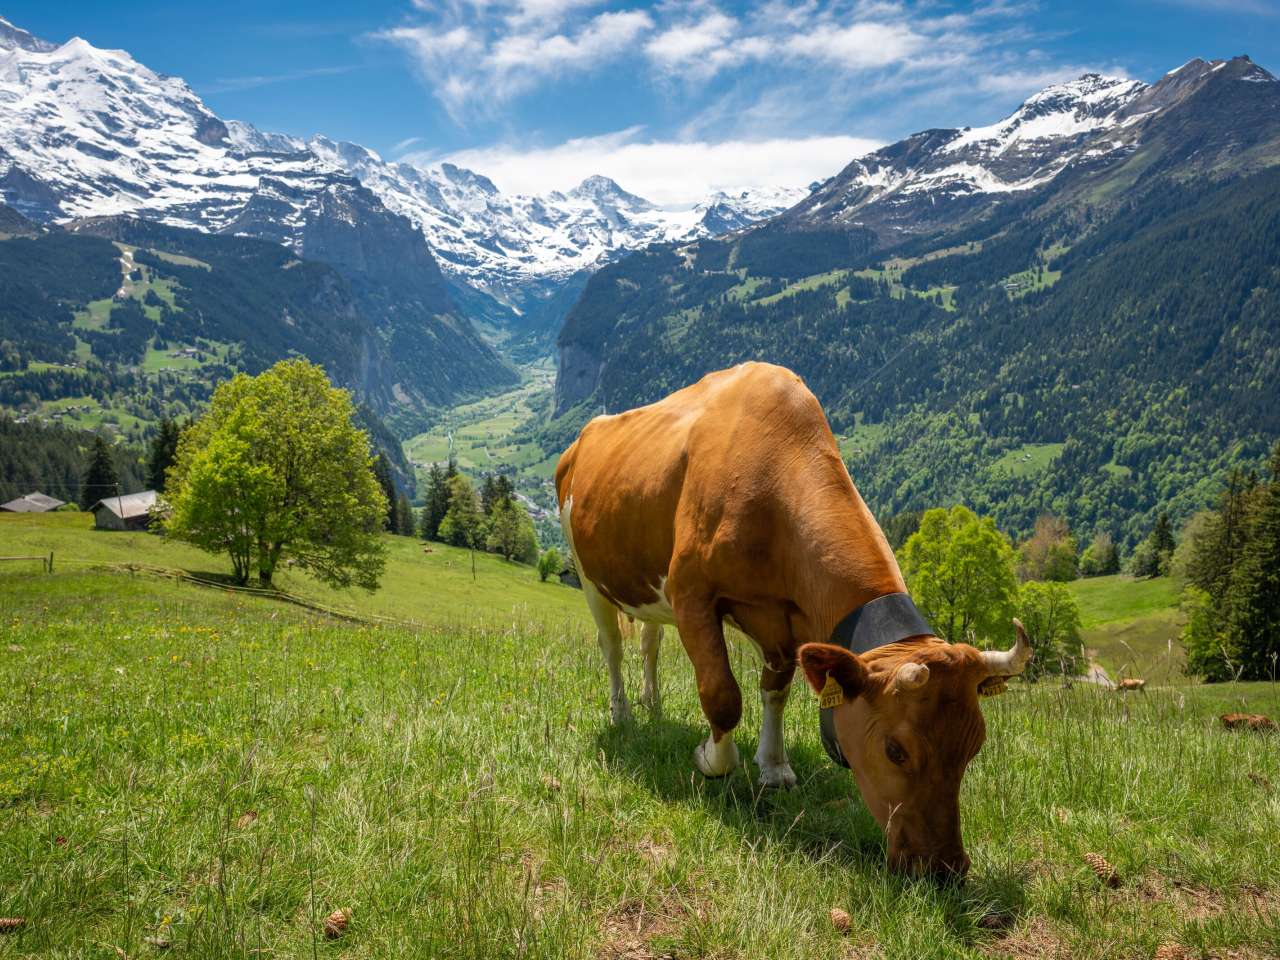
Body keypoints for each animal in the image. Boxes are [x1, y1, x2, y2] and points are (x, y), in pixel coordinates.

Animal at [555, 362, 1032, 878]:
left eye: (975, 746)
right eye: (895, 750)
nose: (944, 868)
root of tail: (585, 435)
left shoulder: (780, 620)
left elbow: (775, 691)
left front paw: (774, 765)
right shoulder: (691, 594)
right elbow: (722, 695)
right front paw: (712, 758)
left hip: (646, 586)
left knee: (649, 643)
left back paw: (654, 703)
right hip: (589, 575)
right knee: (612, 647)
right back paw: (623, 712)